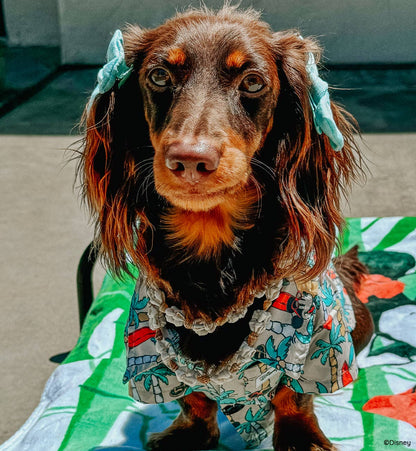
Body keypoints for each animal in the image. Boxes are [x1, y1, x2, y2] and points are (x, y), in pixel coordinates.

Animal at [79, 7, 372, 451]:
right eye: (159, 75)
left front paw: (301, 437)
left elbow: (293, 394)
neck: (209, 239)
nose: (190, 160)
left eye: (252, 81)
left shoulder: (317, 342)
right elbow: (193, 398)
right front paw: (189, 433)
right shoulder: (150, 349)